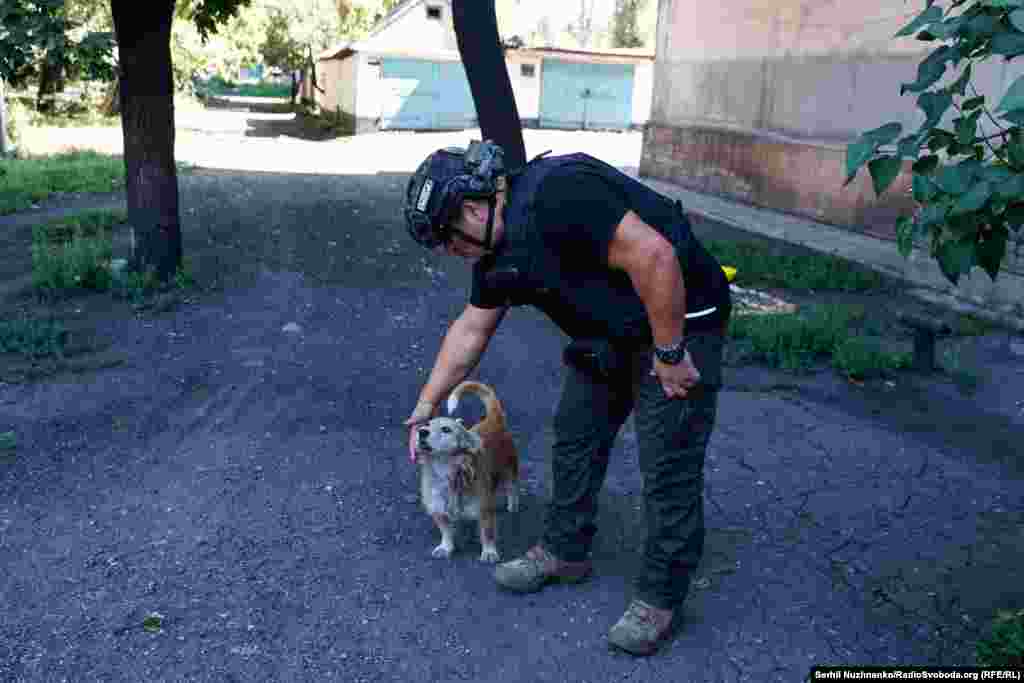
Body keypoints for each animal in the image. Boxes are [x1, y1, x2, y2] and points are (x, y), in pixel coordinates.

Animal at [413, 382, 520, 565]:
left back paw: (513, 505)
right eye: (426, 424)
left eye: (446, 429)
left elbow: (487, 534)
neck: (446, 472)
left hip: (510, 469)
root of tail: (493, 419)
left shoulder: (485, 511)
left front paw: (489, 552)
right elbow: (446, 531)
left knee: (512, 487)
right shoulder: (438, 509)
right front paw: (446, 547)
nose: (421, 431)